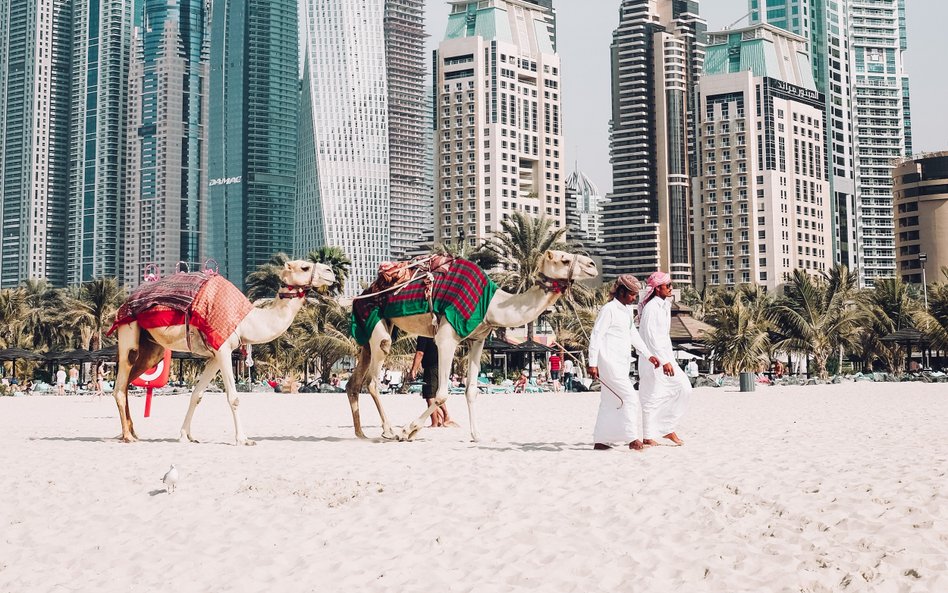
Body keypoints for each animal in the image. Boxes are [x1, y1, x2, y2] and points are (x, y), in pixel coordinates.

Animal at [110, 260, 336, 444]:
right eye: (304, 267)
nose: (331, 271)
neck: (246, 321)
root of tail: (123, 305)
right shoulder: (224, 348)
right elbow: (233, 398)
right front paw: (243, 439)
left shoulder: (215, 355)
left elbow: (197, 394)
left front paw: (185, 435)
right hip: (128, 330)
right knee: (121, 383)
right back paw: (128, 436)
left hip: (152, 348)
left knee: (130, 380)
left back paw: (132, 431)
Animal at [348, 249, 600, 440]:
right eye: (564, 259)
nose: (592, 265)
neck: (491, 305)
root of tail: (363, 293)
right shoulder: (446, 337)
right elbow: (442, 393)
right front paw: (408, 430)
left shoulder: (477, 340)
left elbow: (471, 390)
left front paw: (476, 435)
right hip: (374, 318)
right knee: (373, 379)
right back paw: (389, 431)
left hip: (371, 328)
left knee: (355, 381)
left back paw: (361, 434)